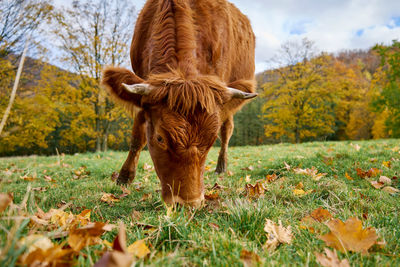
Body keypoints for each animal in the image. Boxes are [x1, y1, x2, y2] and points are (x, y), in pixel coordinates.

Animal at [101, 0, 256, 207]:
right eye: (160, 138)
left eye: (210, 141)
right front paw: (124, 177)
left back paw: (221, 166)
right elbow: (137, 137)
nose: (189, 204)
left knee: (227, 129)